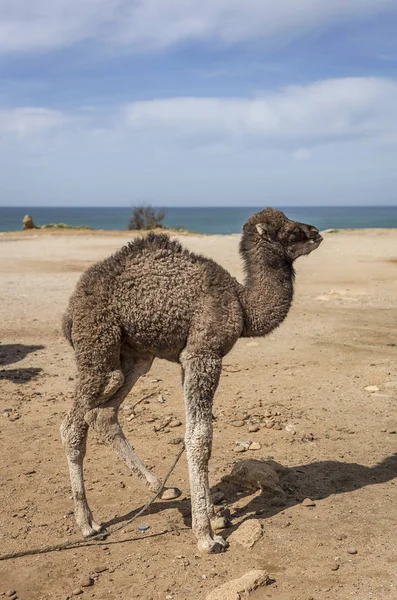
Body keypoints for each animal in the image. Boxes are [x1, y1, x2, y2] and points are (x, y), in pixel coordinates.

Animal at [61, 207, 322, 552]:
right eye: (291, 232)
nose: (316, 232)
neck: (241, 304)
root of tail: (70, 310)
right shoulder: (203, 354)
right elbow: (200, 439)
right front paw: (207, 536)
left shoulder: (187, 360)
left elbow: (193, 432)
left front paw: (213, 515)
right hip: (97, 344)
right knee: (72, 426)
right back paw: (88, 524)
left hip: (135, 356)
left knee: (103, 413)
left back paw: (161, 488)